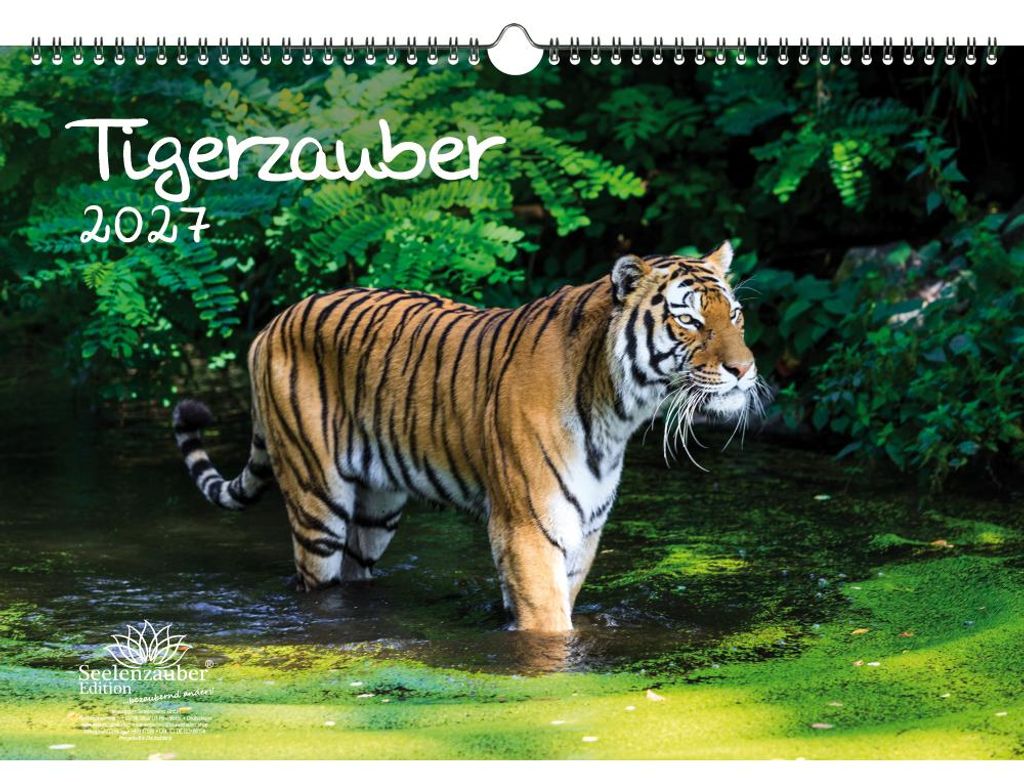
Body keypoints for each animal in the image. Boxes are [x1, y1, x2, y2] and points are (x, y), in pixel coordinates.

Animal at [172, 241, 764, 633]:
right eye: (689, 321)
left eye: (735, 315)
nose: (744, 370)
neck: (617, 410)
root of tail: (272, 322)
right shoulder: (528, 527)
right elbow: (550, 624)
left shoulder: (583, 530)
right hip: (318, 503)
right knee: (314, 581)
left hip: (377, 508)